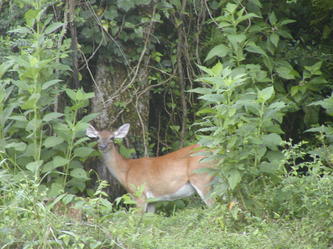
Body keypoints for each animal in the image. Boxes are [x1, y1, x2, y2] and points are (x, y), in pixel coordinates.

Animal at [86, 122, 215, 212]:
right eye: (97, 137)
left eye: (112, 138)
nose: (102, 146)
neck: (126, 170)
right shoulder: (153, 200)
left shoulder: (139, 194)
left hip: (201, 178)